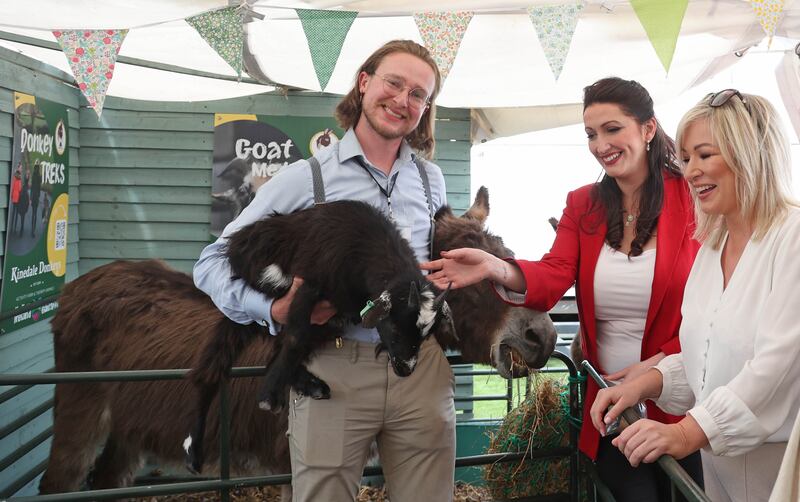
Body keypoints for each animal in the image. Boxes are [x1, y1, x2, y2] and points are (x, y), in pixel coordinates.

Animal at [184, 198, 454, 472]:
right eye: (396, 328)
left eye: (425, 336)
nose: (405, 369)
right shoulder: (308, 285)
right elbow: (295, 339)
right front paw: (268, 396)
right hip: (252, 307)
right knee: (212, 369)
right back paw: (194, 450)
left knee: (268, 355)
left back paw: (311, 385)